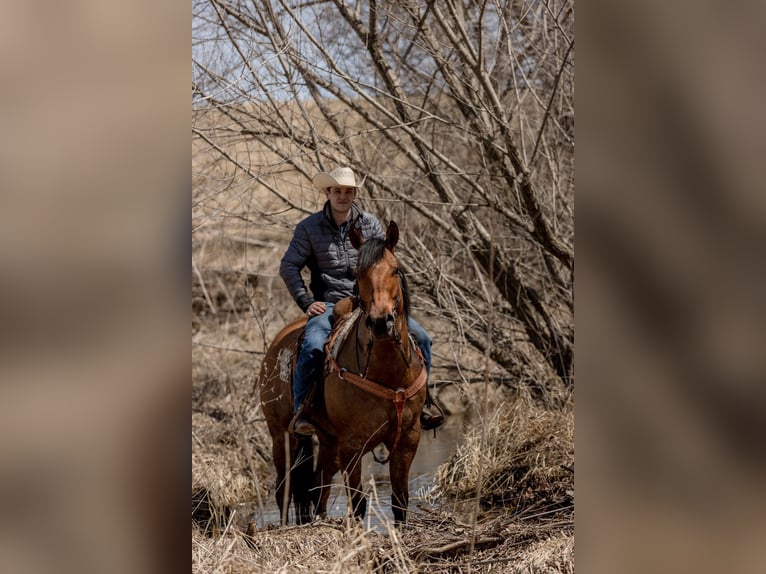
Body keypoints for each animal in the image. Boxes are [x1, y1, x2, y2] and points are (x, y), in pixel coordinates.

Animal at [260, 222, 428, 528]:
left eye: (395, 269)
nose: (380, 322)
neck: (387, 374)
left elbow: (400, 499)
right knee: (284, 488)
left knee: (319, 485)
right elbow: (358, 503)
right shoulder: (352, 444)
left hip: (328, 442)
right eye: (358, 273)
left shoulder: (409, 437)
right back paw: (285, 525)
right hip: (282, 436)